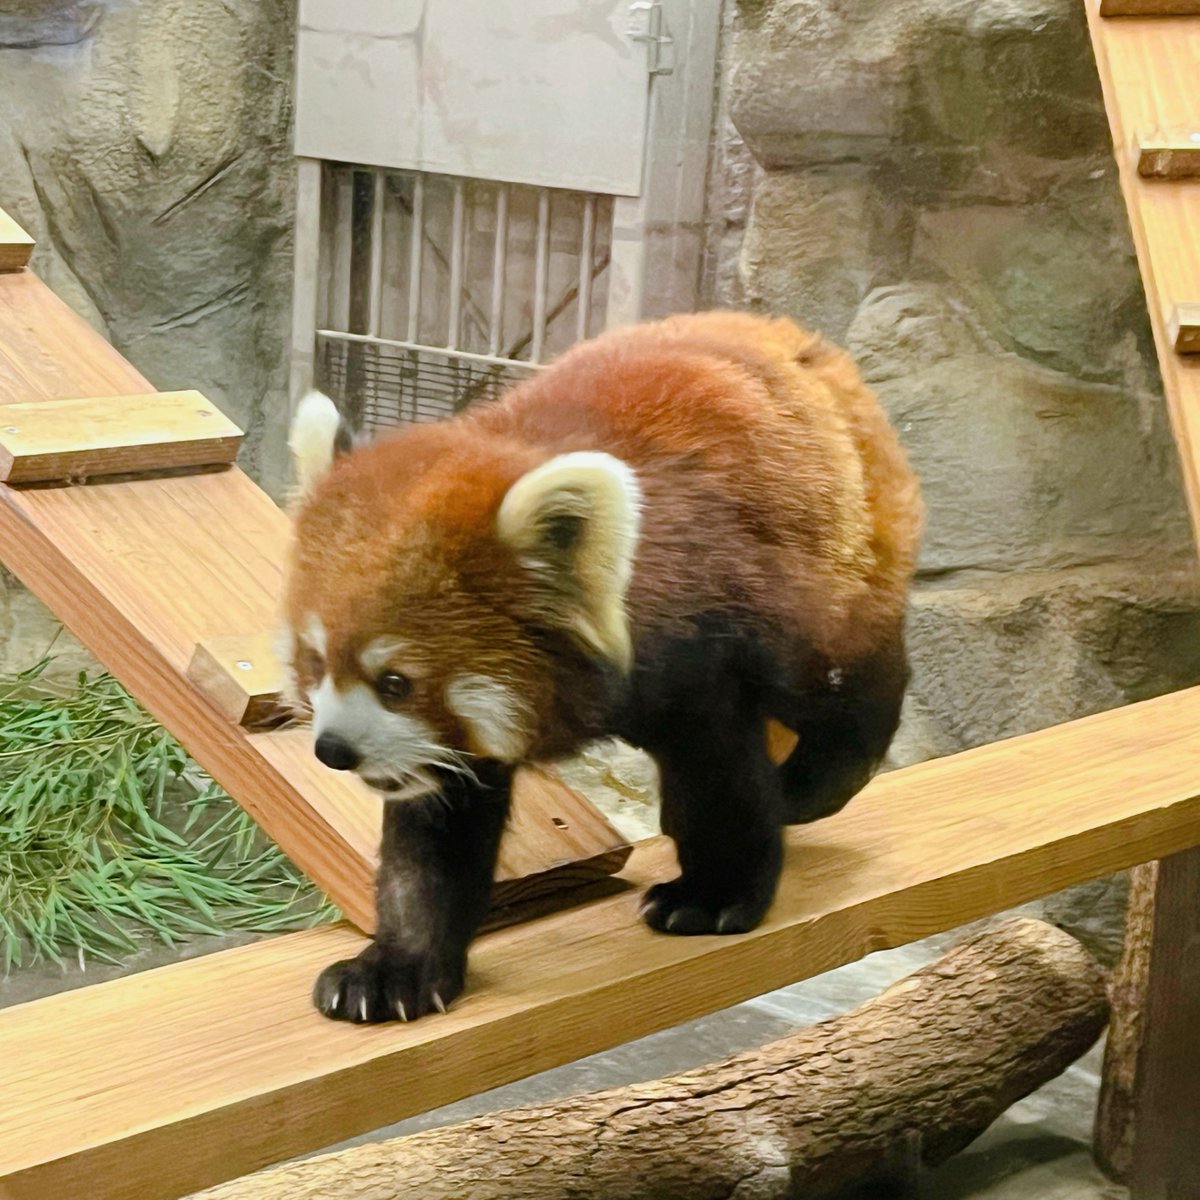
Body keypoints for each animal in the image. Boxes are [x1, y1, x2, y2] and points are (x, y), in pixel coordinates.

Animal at [285, 309, 921, 1022]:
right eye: (316, 663)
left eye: (396, 682)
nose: (334, 750)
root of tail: (790, 337)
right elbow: (432, 843)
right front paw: (398, 966)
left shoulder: (699, 646)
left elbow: (719, 776)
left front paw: (712, 897)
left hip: (828, 563)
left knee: (842, 681)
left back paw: (815, 781)